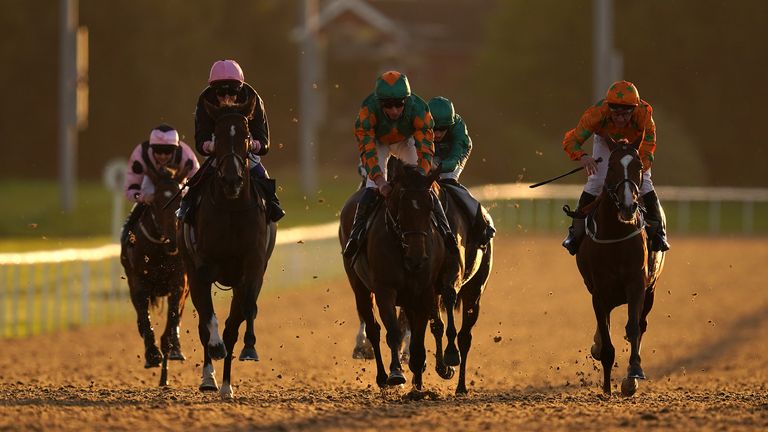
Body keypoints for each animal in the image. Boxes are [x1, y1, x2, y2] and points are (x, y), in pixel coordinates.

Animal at [121, 165, 192, 384]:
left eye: (181, 200)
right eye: (157, 202)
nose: (173, 242)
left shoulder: (179, 283)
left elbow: (172, 320)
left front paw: (171, 351)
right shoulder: (138, 282)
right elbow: (144, 318)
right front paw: (152, 354)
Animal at [177, 99, 276, 400]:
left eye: (245, 137)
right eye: (217, 137)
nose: (232, 180)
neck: (231, 209)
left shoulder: (252, 268)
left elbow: (241, 316)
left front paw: (246, 352)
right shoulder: (201, 269)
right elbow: (208, 320)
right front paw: (215, 349)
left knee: (238, 319)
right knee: (203, 323)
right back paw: (209, 377)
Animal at [342, 162, 462, 392]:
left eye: (430, 207)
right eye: (401, 206)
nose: (417, 257)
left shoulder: (423, 291)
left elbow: (420, 334)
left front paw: (419, 372)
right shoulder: (385, 290)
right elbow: (393, 332)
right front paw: (396, 373)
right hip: (359, 286)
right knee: (373, 328)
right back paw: (382, 376)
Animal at [576, 138, 664, 394]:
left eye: (639, 166)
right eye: (612, 166)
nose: (628, 206)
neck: (615, 234)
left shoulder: (636, 285)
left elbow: (633, 328)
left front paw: (632, 374)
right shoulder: (599, 291)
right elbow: (605, 339)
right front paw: (606, 387)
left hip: (651, 290)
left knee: (641, 324)